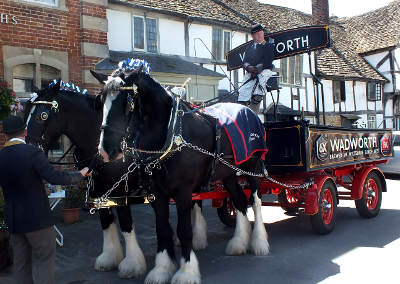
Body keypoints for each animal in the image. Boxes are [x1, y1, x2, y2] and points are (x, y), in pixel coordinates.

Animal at [23, 79, 147, 278]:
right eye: (26, 112)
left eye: (42, 115)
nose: (29, 149)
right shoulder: (97, 188)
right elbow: (106, 221)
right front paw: (109, 258)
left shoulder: (121, 188)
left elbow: (126, 223)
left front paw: (132, 264)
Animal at [92, 67, 270, 284]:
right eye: (101, 101)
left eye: (126, 103)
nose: (105, 150)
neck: (170, 132)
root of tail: (249, 111)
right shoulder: (157, 194)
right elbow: (162, 229)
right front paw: (162, 269)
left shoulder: (183, 192)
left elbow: (184, 230)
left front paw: (187, 271)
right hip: (227, 173)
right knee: (239, 201)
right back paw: (238, 243)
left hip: (252, 166)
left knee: (256, 201)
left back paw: (259, 243)